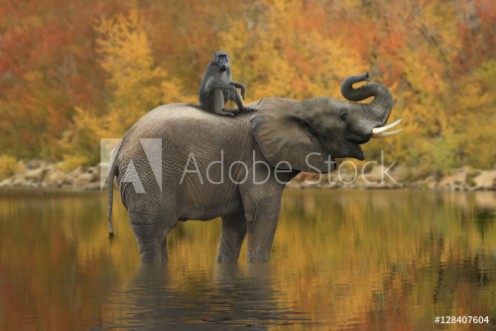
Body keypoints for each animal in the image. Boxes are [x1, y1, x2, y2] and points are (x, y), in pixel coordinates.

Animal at [106, 73, 402, 264]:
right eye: (343, 115)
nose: (365, 73)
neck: (295, 107)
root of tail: (119, 148)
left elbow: (236, 222)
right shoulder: (256, 160)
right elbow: (263, 214)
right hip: (147, 177)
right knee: (153, 235)